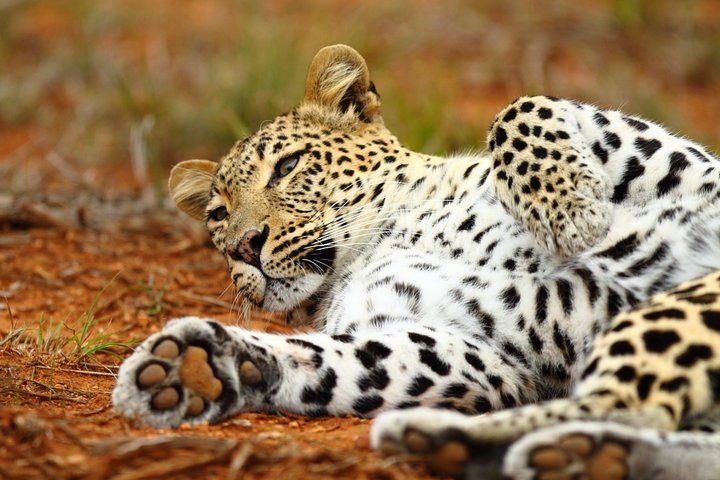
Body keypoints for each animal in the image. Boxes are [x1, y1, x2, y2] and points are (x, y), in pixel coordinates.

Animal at [111, 44, 720, 478]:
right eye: (218, 214)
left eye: (286, 167)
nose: (245, 245)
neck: (381, 236)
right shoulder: (475, 353)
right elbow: (329, 361)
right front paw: (201, 365)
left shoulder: (691, 169)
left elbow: (523, 107)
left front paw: (570, 210)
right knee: (624, 408)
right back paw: (464, 442)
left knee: (627, 402)